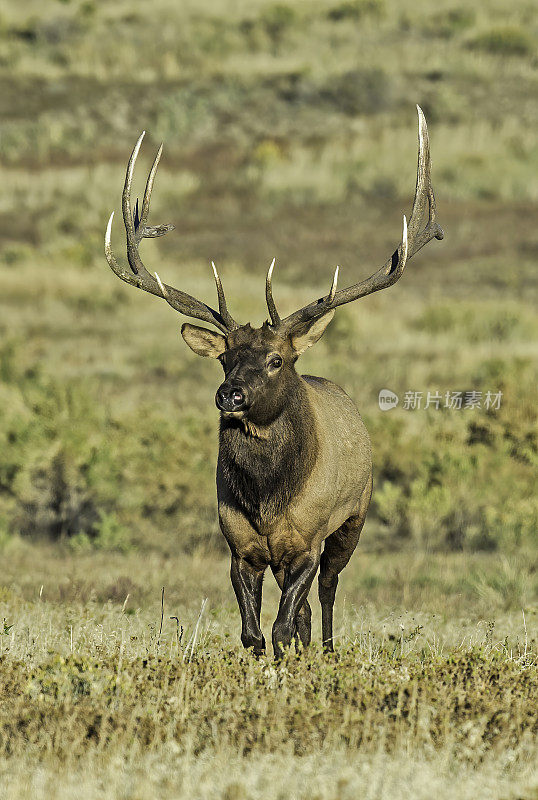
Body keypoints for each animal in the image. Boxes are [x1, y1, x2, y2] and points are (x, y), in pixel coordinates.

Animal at [103, 104, 440, 656]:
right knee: (300, 609)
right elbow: (253, 632)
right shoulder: (240, 547)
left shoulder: (308, 540)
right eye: (224, 358)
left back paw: (327, 649)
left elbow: (285, 622)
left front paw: (295, 657)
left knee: (326, 593)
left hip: (354, 518)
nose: (230, 394)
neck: (266, 502)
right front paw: (269, 659)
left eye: (277, 359)